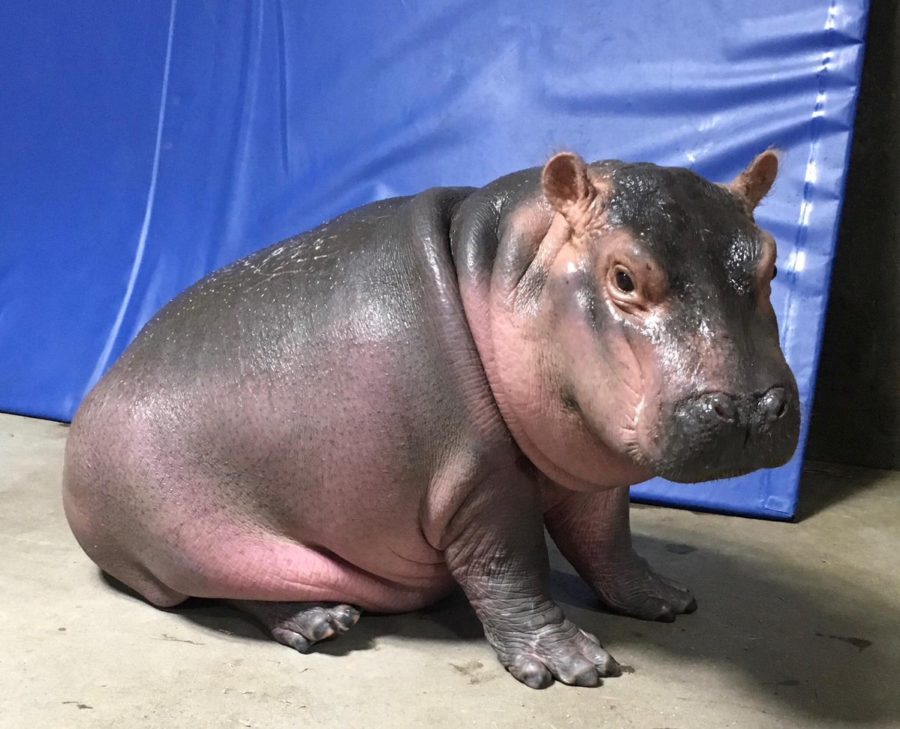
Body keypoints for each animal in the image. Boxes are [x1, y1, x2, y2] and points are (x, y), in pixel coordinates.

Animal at [63, 149, 800, 688]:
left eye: (770, 261)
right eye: (622, 275)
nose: (748, 408)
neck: (506, 266)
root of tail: (93, 399)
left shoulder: (588, 470)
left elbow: (606, 540)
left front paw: (664, 598)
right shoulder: (479, 482)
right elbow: (509, 564)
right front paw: (571, 664)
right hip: (189, 542)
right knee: (228, 586)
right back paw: (320, 621)